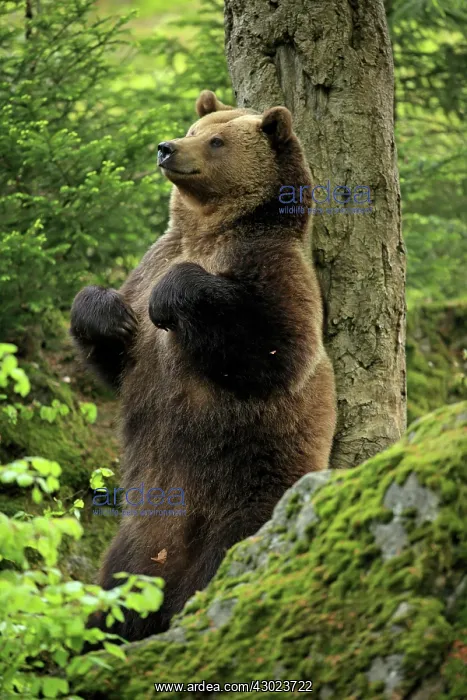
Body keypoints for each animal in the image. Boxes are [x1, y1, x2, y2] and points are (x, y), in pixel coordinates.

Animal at [70, 90, 337, 642]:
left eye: (217, 141)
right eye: (194, 128)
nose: (167, 147)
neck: (207, 229)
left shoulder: (272, 267)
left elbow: (276, 349)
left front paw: (171, 299)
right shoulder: (149, 263)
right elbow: (115, 359)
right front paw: (110, 316)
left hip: (251, 493)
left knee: (229, 555)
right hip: (140, 533)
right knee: (120, 584)